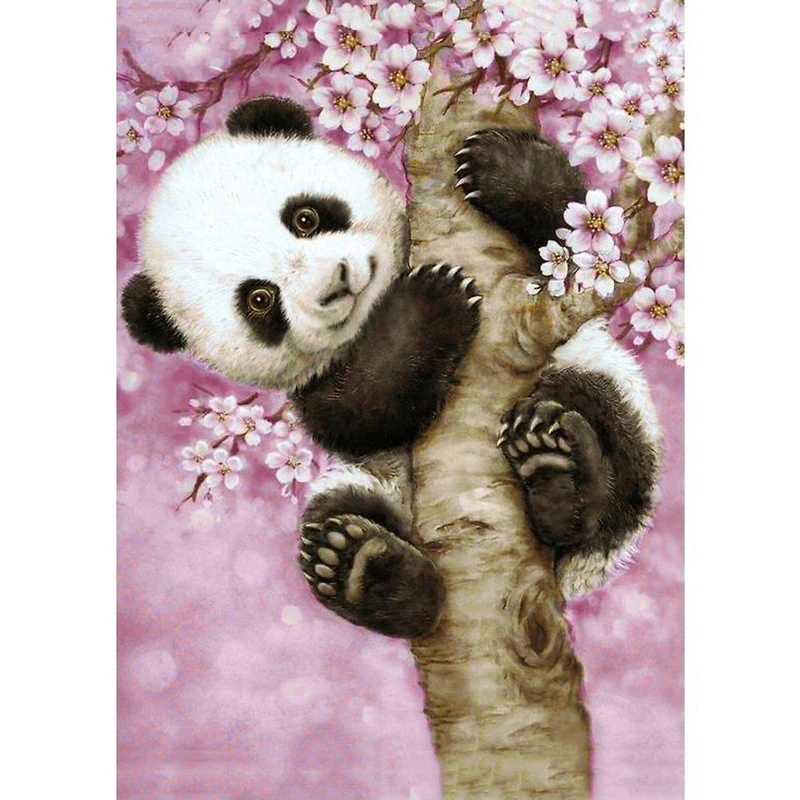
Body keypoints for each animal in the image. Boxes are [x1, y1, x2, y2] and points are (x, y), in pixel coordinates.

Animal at [122, 96, 662, 640]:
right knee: (334, 517)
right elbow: (359, 413)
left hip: (606, 387)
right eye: (259, 299)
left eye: (304, 217)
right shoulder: (314, 385)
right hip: (370, 493)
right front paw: (428, 304)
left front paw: (499, 165)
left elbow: (581, 241)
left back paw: (559, 474)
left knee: (604, 427)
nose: (337, 283)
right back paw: (371, 573)